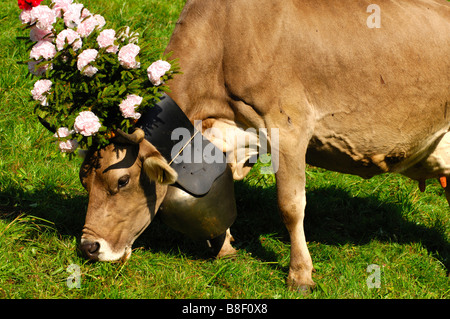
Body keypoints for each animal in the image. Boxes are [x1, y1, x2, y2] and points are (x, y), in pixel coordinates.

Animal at [80, 0, 450, 292]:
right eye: (85, 181)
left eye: (122, 181)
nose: (88, 246)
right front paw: (225, 247)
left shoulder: (288, 126)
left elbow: (291, 206)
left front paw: (300, 275)